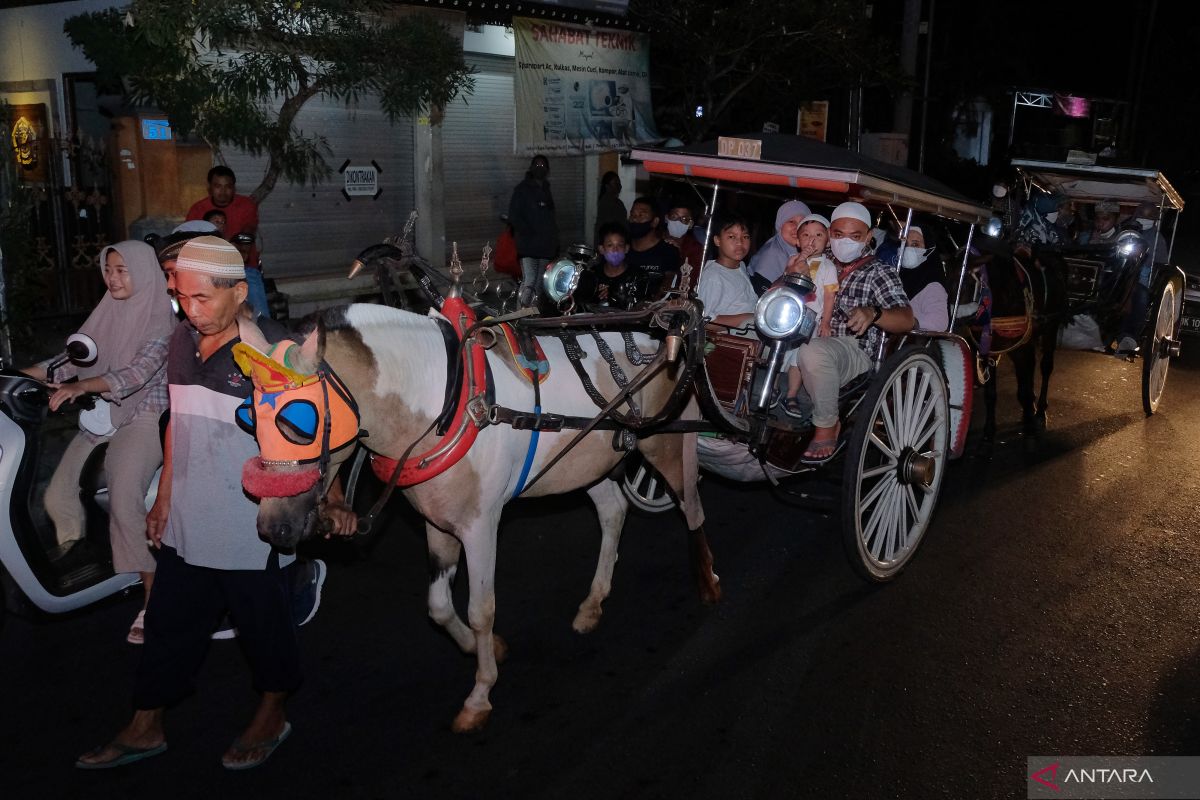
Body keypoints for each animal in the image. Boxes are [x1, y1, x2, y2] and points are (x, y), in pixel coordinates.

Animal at [243, 303, 710, 734]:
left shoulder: (481, 525)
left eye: (298, 421)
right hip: (582, 462)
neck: (445, 404)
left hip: (664, 441)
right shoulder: (437, 522)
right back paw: (593, 603)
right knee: (613, 511)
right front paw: (484, 648)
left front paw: (480, 694)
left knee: (692, 506)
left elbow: (482, 609)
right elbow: (439, 607)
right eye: (249, 419)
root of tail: (657, 336)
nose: (270, 527)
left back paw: (707, 581)